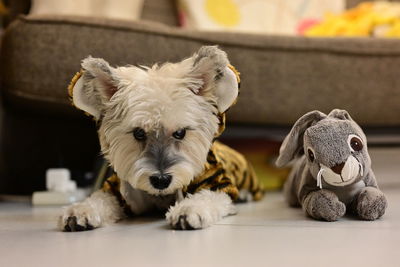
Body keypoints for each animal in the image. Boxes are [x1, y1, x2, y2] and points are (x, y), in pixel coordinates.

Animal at [57, 46, 264, 232]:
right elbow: (100, 198)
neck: (162, 196)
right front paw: (81, 210)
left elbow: (207, 197)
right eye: (138, 133)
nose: (161, 181)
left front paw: (189, 210)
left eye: (180, 133)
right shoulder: (117, 191)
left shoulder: (217, 186)